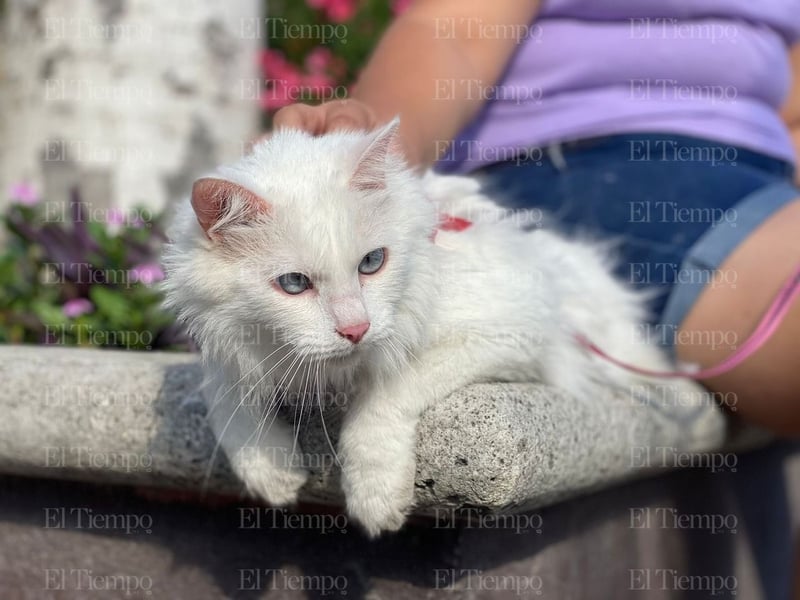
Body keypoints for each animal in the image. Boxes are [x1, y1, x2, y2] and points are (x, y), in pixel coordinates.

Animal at [162, 119, 680, 536]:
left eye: (373, 262)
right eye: (294, 284)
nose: (357, 329)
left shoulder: (509, 330)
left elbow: (384, 399)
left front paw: (375, 499)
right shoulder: (229, 349)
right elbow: (224, 396)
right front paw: (272, 471)